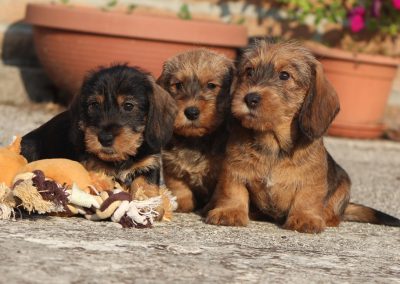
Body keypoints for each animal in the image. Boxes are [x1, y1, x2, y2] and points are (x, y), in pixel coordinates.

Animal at [20, 64, 177, 193]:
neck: (120, 159)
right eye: (94, 105)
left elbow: (146, 186)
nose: (104, 139)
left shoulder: (149, 164)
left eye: (128, 106)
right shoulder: (93, 167)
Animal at [158, 48, 236, 212]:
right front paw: (182, 204)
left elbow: (219, 192)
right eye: (178, 85)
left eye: (211, 85)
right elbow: (178, 188)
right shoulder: (171, 166)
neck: (196, 140)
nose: (191, 112)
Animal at [206, 40, 400, 233]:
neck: (273, 144)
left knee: (335, 214)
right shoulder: (233, 171)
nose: (250, 98)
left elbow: (306, 199)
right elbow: (233, 191)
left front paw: (304, 218)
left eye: (284, 75)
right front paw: (229, 211)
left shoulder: (312, 181)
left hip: (344, 185)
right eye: (249, 71)